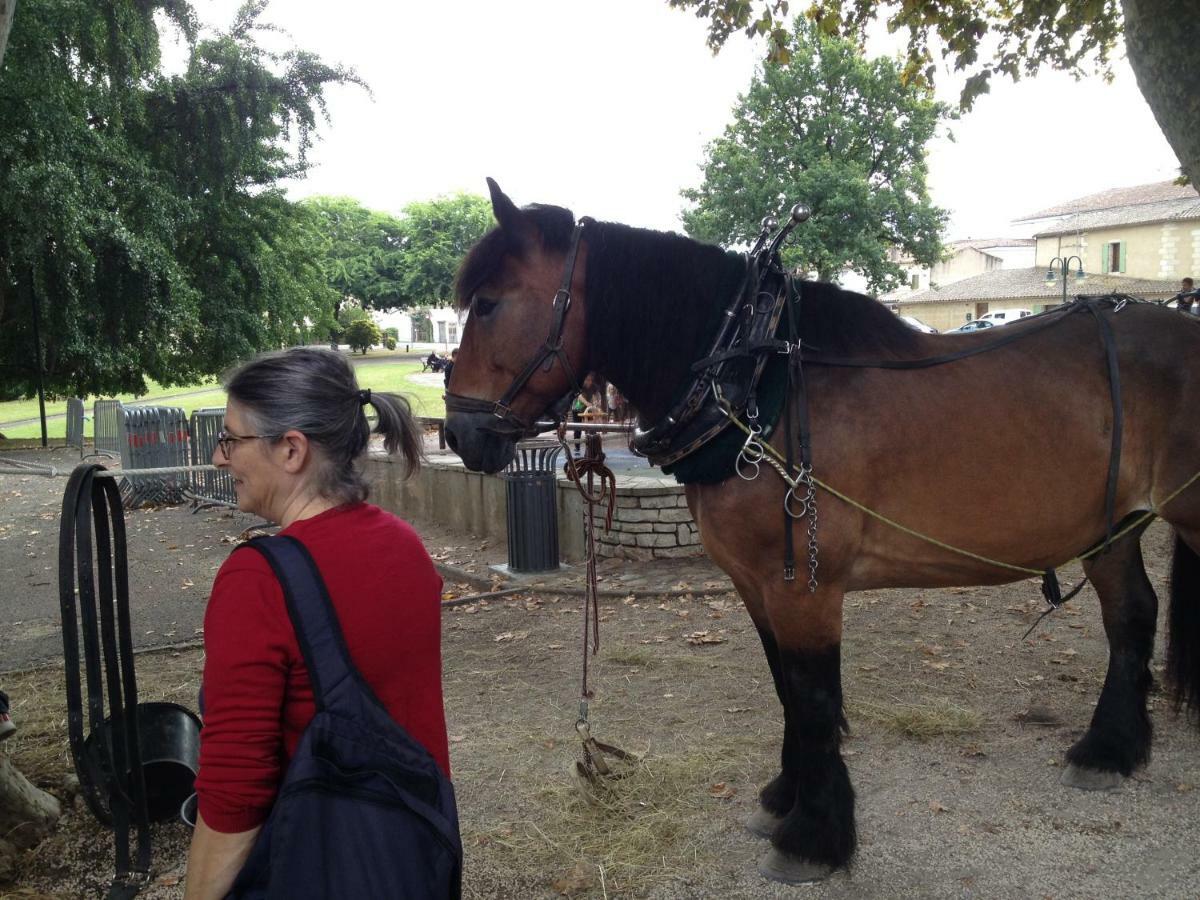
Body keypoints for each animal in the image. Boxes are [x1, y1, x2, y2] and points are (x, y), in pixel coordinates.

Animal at [441, 180, 1200, 883]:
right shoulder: (756, 585)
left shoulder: (805, 588)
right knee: (1134, 615)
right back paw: (1110, 750)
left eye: (489, 303)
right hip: (1112, 528)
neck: (757, 382)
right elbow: (785, 686)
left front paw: (814, 835)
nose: (458, 432)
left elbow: (812, 698)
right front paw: (788, 794)